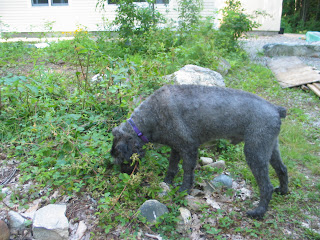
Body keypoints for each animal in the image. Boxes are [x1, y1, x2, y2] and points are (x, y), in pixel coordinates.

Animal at [111, 84, 288, 219]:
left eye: (120, 158)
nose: (126, 175)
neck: (150, 116)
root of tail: (276, 109)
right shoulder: (176, 148)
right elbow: (172, 168)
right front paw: (167, 183)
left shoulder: (189, 148)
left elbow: (187, 172)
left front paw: (183, 191)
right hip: (270, 149)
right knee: (282, 169)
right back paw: (283, 191)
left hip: (255, 153)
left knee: (266, 186)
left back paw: (259, 212)